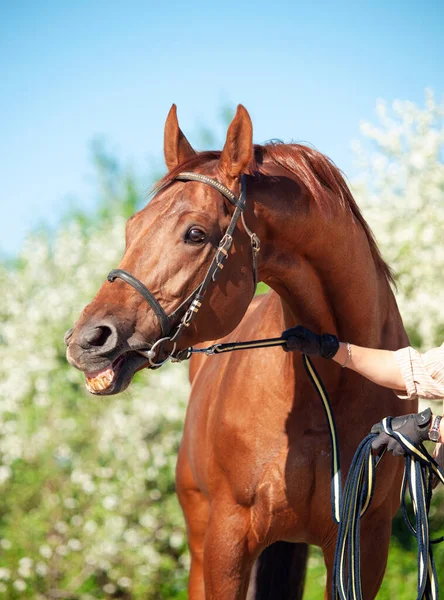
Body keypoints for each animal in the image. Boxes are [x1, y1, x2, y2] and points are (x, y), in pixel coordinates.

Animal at [66, 106, 412, 600]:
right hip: (200, 540)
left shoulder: (362, 545)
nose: (86, 340)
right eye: (132, 227)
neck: (327, 385)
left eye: (195, 233)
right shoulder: (227, 539)